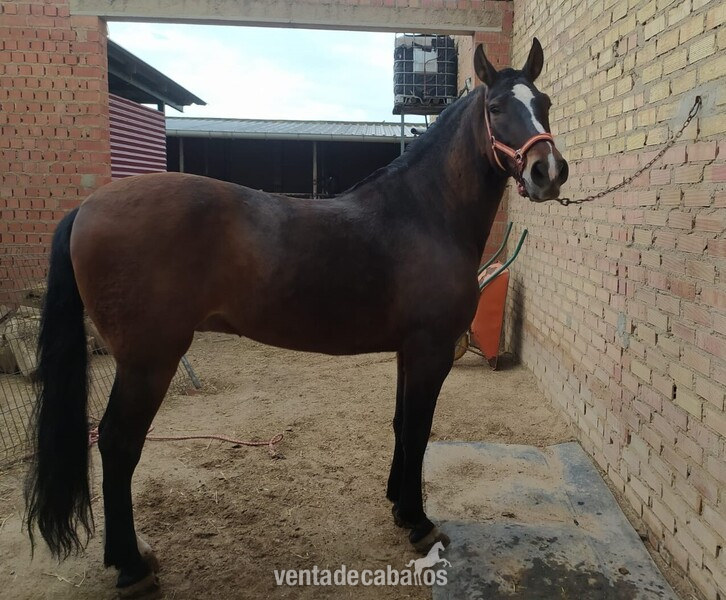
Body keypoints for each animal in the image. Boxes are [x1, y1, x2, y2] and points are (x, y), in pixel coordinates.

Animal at [25, 39, 567, 597]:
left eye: (545, 103)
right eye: (497, 108)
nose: (548, 171)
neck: (424, 215)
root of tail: (86, 207)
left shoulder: (407, 351)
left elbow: (400, 425)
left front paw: (398, 506)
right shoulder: (430, 350)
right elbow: (418, 429)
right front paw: (418, 522)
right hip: (149, 361)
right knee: (117, 443)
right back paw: (132, 567)